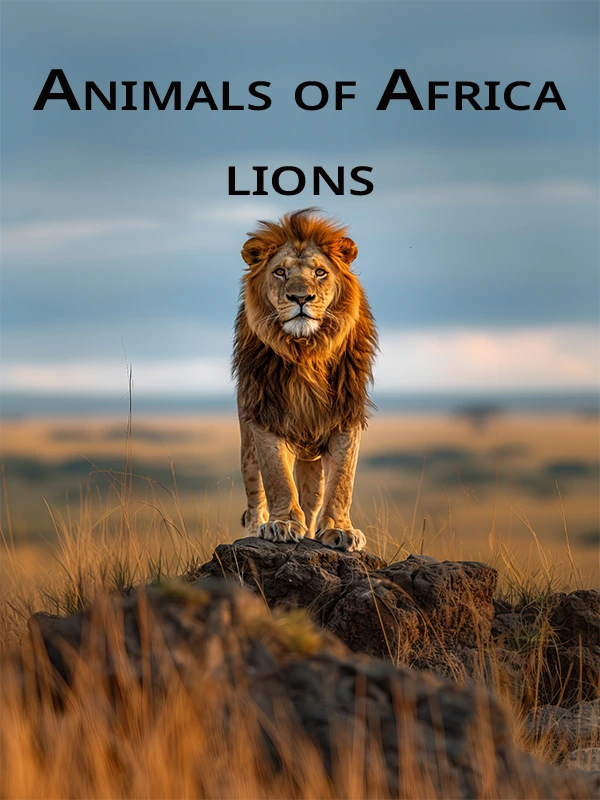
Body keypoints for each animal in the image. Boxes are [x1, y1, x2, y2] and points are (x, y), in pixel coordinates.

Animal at [232, 208, 377, 551]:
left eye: (321, 273)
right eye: (280, 272)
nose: (301, 298)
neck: (305, 351)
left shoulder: (345, 415)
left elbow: (342, 481)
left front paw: (340, 530)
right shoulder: (265, 413)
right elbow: (277, 478)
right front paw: (282, 524)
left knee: (312, 500)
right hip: (246, 444)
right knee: (254, 496)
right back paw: (254, 530)